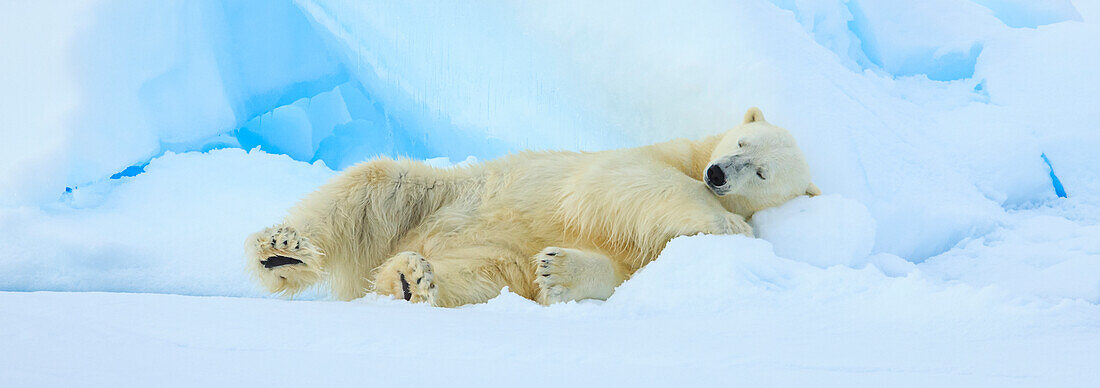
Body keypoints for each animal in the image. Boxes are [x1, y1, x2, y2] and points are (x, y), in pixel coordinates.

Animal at [247, 106, 818, 305]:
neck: (696, 156)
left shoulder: (650, 252)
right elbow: (630, 183)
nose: (718, 174)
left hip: (485, 250)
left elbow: (622, 271)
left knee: (483, 276)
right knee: (375, 184)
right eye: (741, 143)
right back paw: (281, 250)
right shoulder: (656, 157)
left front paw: (557, 271)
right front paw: (728, 224)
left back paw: (411, 281)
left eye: (762, 172)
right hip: (439, 198)